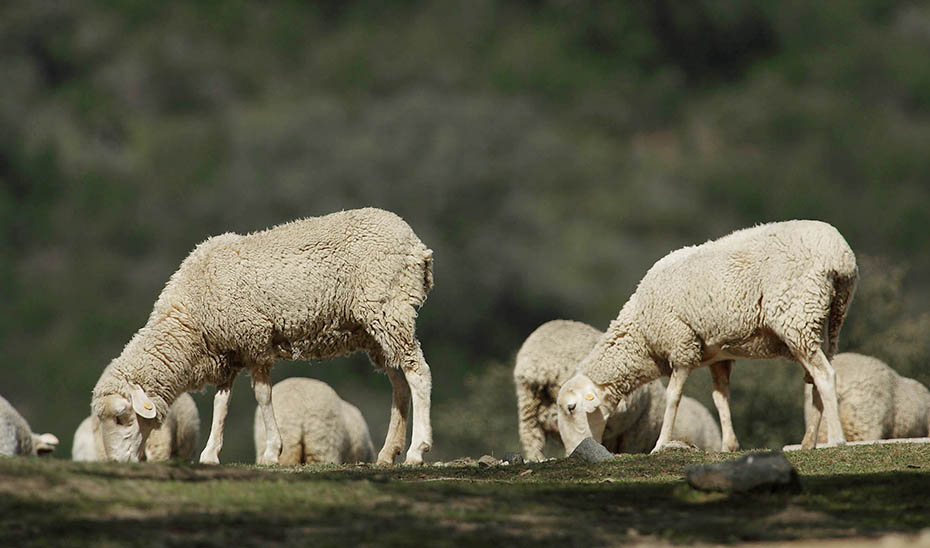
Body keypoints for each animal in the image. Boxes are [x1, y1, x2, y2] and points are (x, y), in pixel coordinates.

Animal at [89, 208, 436, 464]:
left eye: (121, 417)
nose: (115, 463)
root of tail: (416, 244)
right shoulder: (228, 352)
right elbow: (221, 403)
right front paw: (210, 454)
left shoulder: (253, 339)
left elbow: (262, 396)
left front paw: (271, 451)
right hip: (376, 330)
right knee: (400, 386)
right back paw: (388, 453)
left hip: (390, 309)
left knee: (418, 373)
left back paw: (417, 450)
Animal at [552, 218, 856, 454]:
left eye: (571, 408)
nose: (574, 453)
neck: (641, 333)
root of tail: (840, 255)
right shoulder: (717, 356)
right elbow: (720, 397)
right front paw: (729, 445)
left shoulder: (681, 345)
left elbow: (673, 396)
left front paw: (660, 444)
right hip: (826, 322)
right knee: (816, 379)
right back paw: (808, 442)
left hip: (797, 315)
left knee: (826, 376)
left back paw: (836, 440)